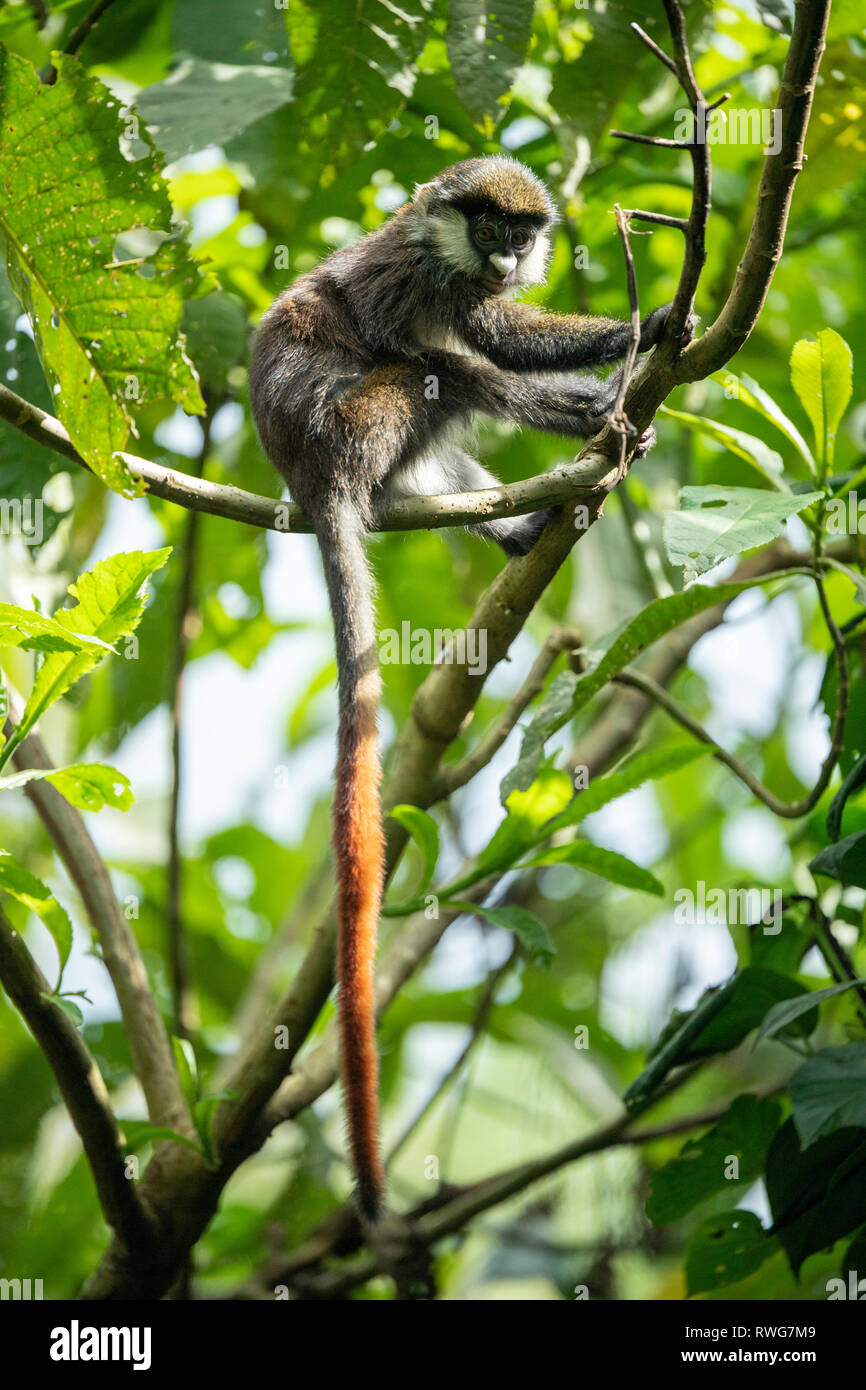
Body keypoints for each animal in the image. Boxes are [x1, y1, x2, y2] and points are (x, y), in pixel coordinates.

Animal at [248, 155, 672, 1223]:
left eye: (524, 232)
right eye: (491, 228)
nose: (512, 254)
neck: (445, 248)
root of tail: (313, 478)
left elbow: (494, 333)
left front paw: (646, 337)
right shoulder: (409, 276)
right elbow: (470, 343)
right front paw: (631, 351)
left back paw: (524, 520)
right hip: (362, 420)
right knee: (437, 371)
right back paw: (581, 426)